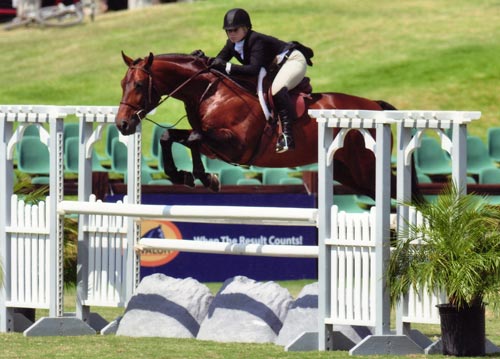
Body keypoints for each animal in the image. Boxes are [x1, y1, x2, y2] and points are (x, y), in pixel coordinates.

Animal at [116, 51, 414, 200]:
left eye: (139, 85)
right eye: (122, 84)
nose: (123, 124)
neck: (209, 92)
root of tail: (375, 105)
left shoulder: (236, 145)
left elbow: (192, 139)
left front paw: (205, 178)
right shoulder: (214, 144)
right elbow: (170, 136)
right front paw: (183, 176)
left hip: (366, 168)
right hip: (350, 173)